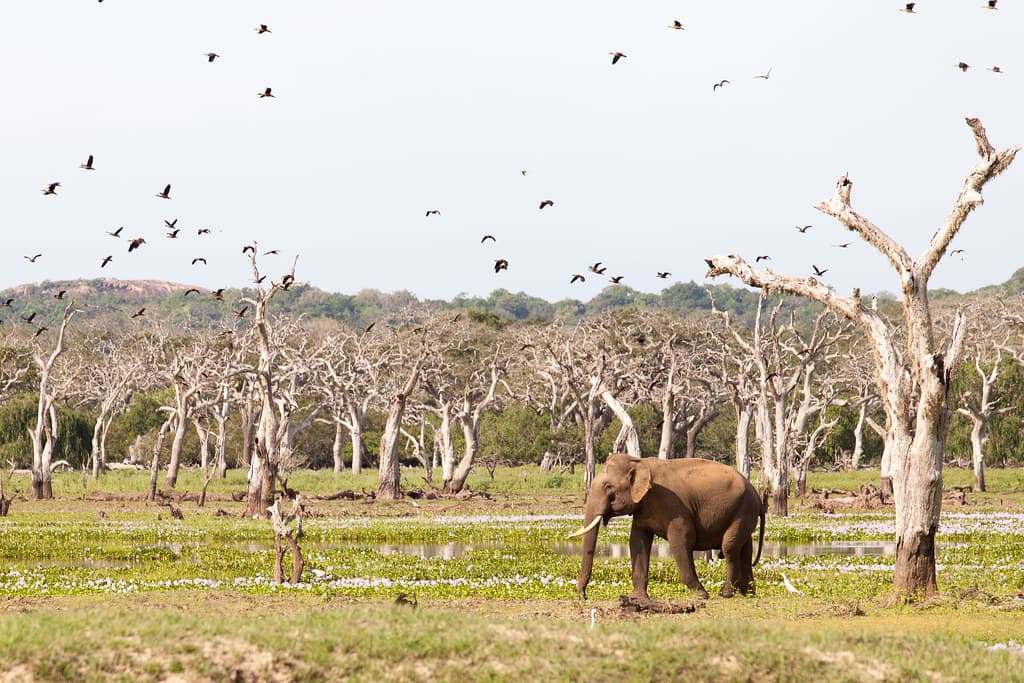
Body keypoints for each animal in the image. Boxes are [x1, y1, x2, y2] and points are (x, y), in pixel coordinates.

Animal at [573, 456, 765, 602]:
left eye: (608, 487)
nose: (583, 596)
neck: (640, 462)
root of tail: (756, 494)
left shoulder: (673, 506)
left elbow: (681, 540)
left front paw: (701, 596)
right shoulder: (642, 510)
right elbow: (637, 542)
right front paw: (637, 598)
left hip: (743, 510)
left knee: (729, 547)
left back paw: (726, 594)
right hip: (743, 512)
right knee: (745, 548)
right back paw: (748, 593)